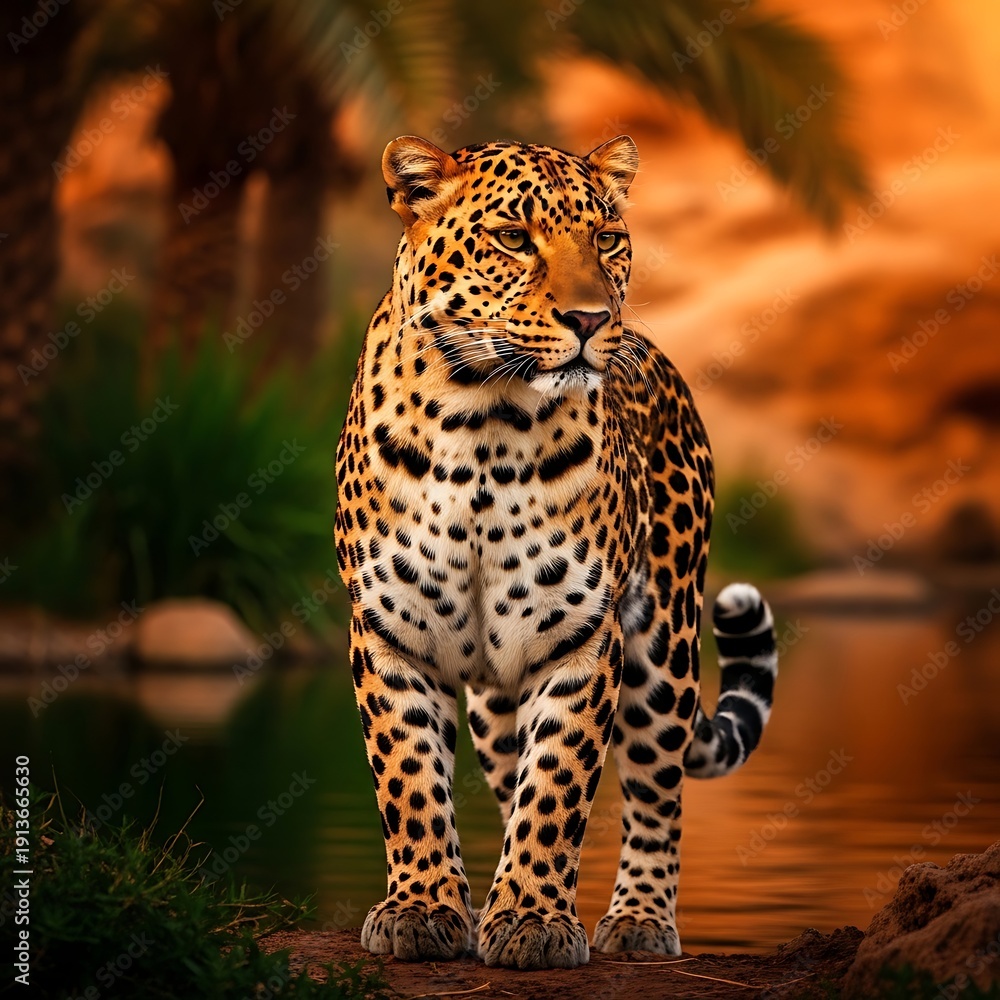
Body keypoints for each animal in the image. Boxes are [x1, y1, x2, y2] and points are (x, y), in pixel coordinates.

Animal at [334, 133, 778, 970]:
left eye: (606, 238)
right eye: (514, 238)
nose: (589, 318)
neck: (481, 419)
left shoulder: (579, 637)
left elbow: (557, 790)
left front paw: (535, 919)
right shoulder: (390, 631)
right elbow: (411, 780)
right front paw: (422, 908)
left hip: (664, 648)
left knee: (655, 793)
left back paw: (639, 919)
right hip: (492, 704)